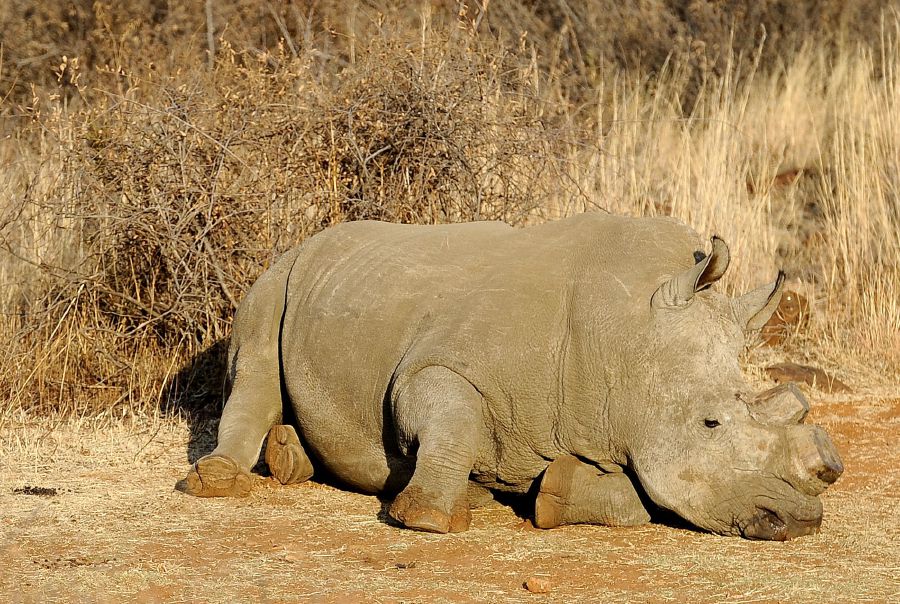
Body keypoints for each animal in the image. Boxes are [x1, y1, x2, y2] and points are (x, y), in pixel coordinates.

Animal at [179, 211, 840, 536]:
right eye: (710, 423)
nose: (800, 522)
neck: (624, 338)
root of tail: (309, 240)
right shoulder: (437, 366)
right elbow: (444, 412)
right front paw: (428, 519)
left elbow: (640, 495)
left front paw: (553, 495)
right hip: (278, 277)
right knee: (255, 362)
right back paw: (216, 481)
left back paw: (291, 461)